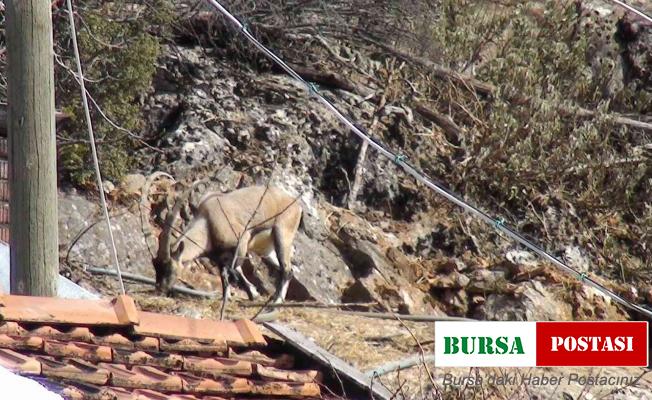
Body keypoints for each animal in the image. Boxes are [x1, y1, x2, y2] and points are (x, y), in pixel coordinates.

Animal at [141, 172, 304, 310]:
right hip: (267, 250)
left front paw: (253, 293)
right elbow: (224, 275)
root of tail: (296, 204)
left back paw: (277, 302)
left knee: (286, 268)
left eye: (169, 268)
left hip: (282, 234)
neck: (208, 222)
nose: (160, 289)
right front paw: (228, 297)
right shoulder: (219, 257)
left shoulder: (242, 240)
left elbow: (234, 269)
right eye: (155, 266)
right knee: (290, 269)